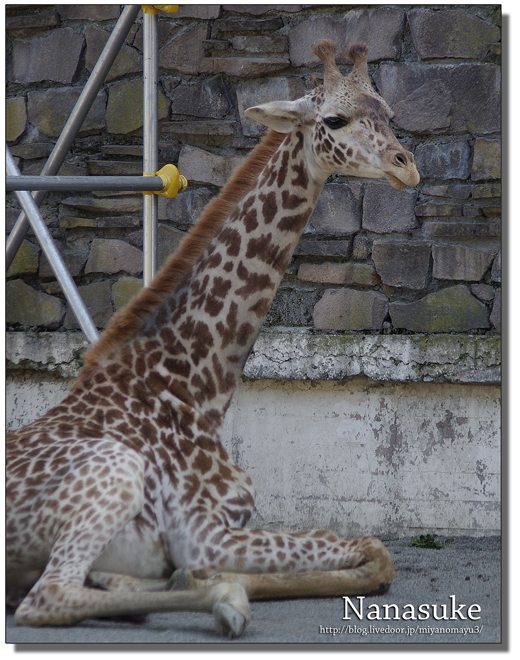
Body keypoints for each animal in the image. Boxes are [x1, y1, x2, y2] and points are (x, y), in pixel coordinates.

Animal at [6, 38, 420, 636]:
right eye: (334, 120)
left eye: (388, 113)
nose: (406, 167)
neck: (197, 387)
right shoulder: (203, 534)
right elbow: (372, 549)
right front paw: (212, 582)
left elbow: (371, 553)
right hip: (115, 474)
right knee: (46, 597)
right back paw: (218, 599)